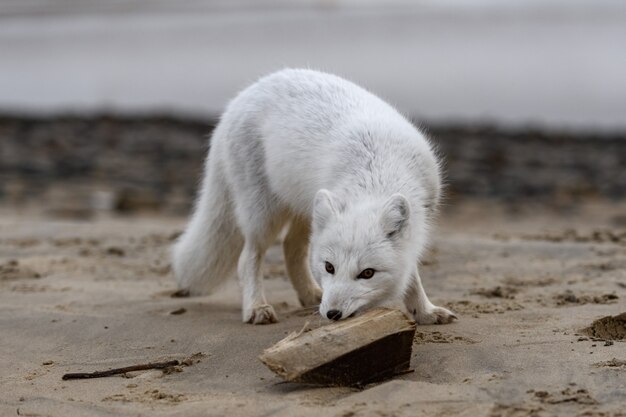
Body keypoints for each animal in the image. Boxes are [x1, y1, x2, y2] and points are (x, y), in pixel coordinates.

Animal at [171, 67, 454, 324]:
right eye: (329, 267)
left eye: (367, 273)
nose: (332, 314)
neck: (376, 169)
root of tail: (238, 101)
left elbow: (412, 275)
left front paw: (425, 312)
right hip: (263, 215)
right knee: (248, 258)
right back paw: (256, 307)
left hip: (305, 209)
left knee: (290, 248)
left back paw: (309, 295)